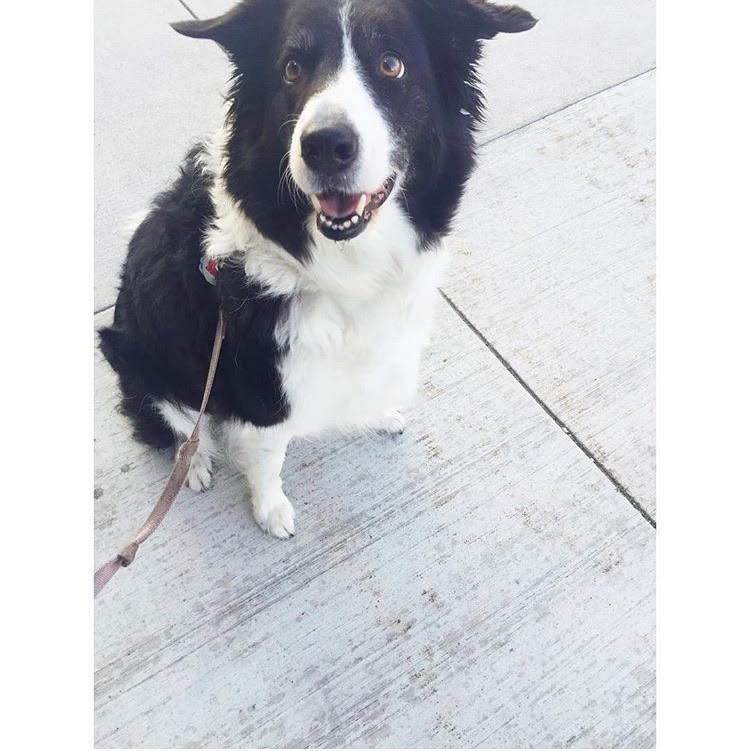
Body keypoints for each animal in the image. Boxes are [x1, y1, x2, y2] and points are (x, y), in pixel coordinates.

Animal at [99, 0, 536, 538]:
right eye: (291, 68)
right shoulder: (261, 390)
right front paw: (271, 512)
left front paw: (378, 412)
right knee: (175, 424)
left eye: (391, 64)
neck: (334, 265)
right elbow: (269, 459)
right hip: (137, 358)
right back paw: (194, 464)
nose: (325, 145)